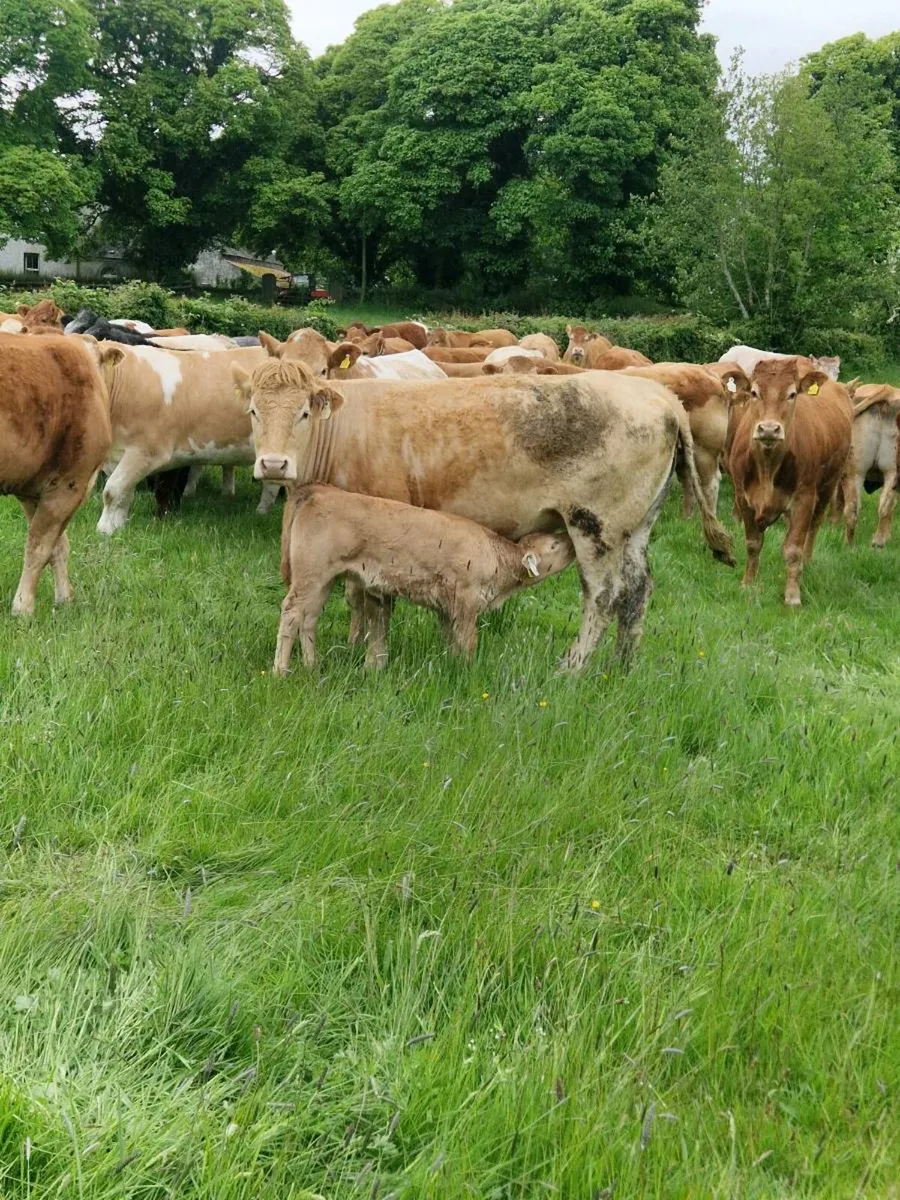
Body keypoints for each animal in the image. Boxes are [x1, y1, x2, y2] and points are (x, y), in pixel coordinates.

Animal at [0, 334, 121, 614]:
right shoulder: (69, 483)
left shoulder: (33, 490)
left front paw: (64, 598)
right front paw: (23, 607)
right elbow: (39, 546)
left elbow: (58, 546)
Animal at [275, 484, 575, 671]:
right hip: (311, 575)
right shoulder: (466, 602)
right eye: (553, 545)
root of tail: (320, 490)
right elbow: (468, 642)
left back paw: (312, 667)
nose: (572, 543)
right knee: (291, 613)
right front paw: (468, 670)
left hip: (323, 580)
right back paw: (281, 671)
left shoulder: (446, 607)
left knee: (309, 618)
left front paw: (452, 665)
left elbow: (451, 641)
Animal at [729, 358, 853, 606]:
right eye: (754, 392)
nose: (769, 429)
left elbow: (794, 549)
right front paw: (748, 583)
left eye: (792, 394)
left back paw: (808, 561)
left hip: (828, 485)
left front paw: (793, 595)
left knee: (813, 526)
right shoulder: (742, 498)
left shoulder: (804, 499)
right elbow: (753, 544)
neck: (767, 467)